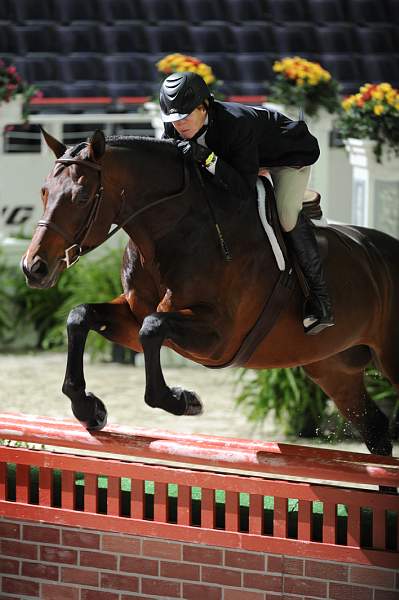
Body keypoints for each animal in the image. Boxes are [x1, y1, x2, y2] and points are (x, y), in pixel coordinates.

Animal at [21, 129, 399, 458]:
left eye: (82, 196)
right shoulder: (131, 317)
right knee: (376, 428)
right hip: (333, 368)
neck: (171, 232)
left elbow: (153, 328)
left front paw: (184, 400)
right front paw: (88, 408)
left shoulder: (219, 337)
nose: (34, 268)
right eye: (43, 191)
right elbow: (81, 316)